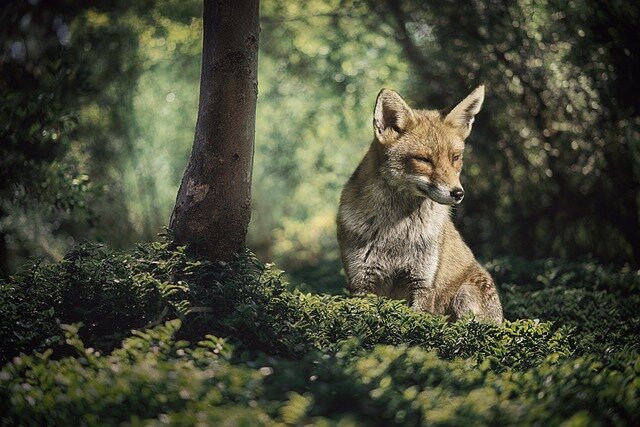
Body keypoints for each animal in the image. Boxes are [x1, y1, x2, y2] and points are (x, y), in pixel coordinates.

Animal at [337, 85, 503, 323]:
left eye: (455, 158)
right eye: (424, 160)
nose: (458, 193)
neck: (396, 233)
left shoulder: (423, 282)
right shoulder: (361, 283)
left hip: (464, 296)